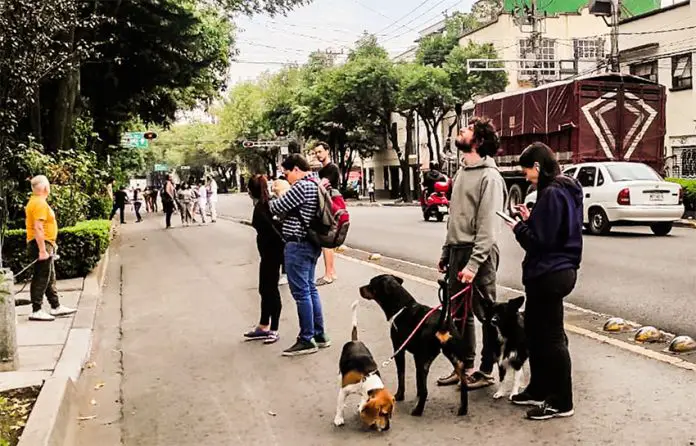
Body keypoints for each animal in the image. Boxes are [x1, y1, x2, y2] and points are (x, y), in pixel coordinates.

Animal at [334, 302, 394, 430]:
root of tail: (355, 341)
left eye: (390, 414)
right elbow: (340, 407)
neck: (366, 379)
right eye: (383, 413)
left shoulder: (366, 393)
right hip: (340, 375)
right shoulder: (344, 390)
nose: (387, 428)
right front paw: (338, 418)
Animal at [358, 274, 468, 416]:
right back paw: (463, 409)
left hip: (425, 360)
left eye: (372, 284)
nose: (360, 288)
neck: (402, 307)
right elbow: (418, 380)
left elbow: (401, 375)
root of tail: (443, 324)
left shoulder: (399, 350)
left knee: (426, 390)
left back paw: (418, 410)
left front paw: (399, 396)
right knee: (464, 384)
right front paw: (418, 393)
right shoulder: (417, 355)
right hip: (455, 358)